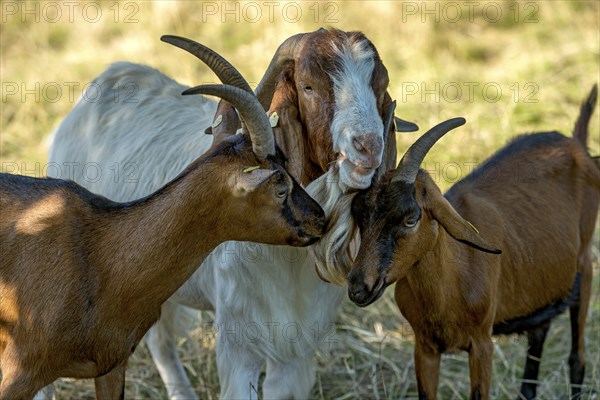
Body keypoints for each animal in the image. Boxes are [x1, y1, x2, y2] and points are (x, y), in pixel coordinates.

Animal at [47, 29, 410, 398]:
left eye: (381, 84)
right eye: (308, 86)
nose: (368, 147)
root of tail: (110, 76)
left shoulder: (295, 347)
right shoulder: (240, 342)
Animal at [346, 85, 600, 400]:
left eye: (411, 218)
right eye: (359, 213)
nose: (358, 288)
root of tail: (576, 144)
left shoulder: (482, 344)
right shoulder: (424, 347)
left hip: (584, 267)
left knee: (577, 357)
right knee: (539, 334)